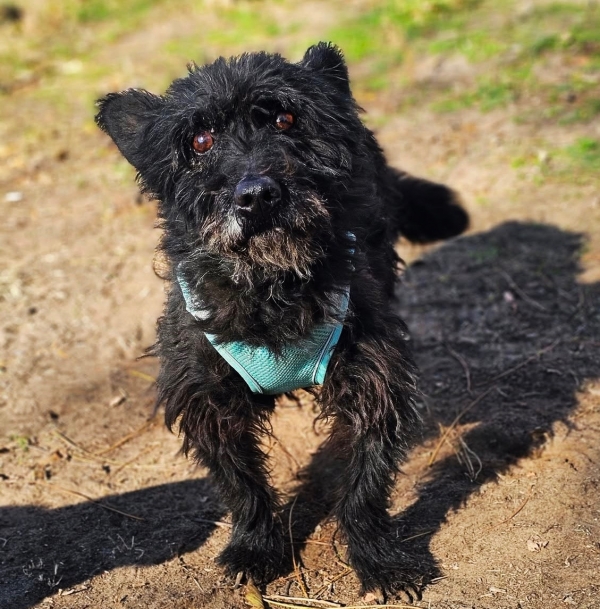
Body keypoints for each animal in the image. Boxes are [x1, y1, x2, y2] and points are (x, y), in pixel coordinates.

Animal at [96, 42, 468, 597]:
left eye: (285, 119)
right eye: (200, 140)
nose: (257, 196)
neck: (271, 290)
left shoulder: (373, 378)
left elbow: (365, 482)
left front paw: (379, 559)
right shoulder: (208, 399)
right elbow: (241, 484)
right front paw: (255, 547)